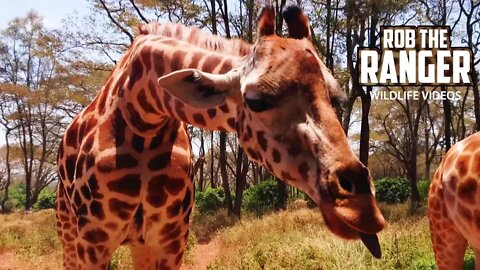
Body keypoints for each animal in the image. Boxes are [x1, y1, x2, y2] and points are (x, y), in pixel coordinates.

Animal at [56, 5, 386, 268]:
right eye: (256, 101)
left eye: (336, 98)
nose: (362, 211)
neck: (144, 121)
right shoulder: (94, 241)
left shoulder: (170, 239)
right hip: (69, 233)